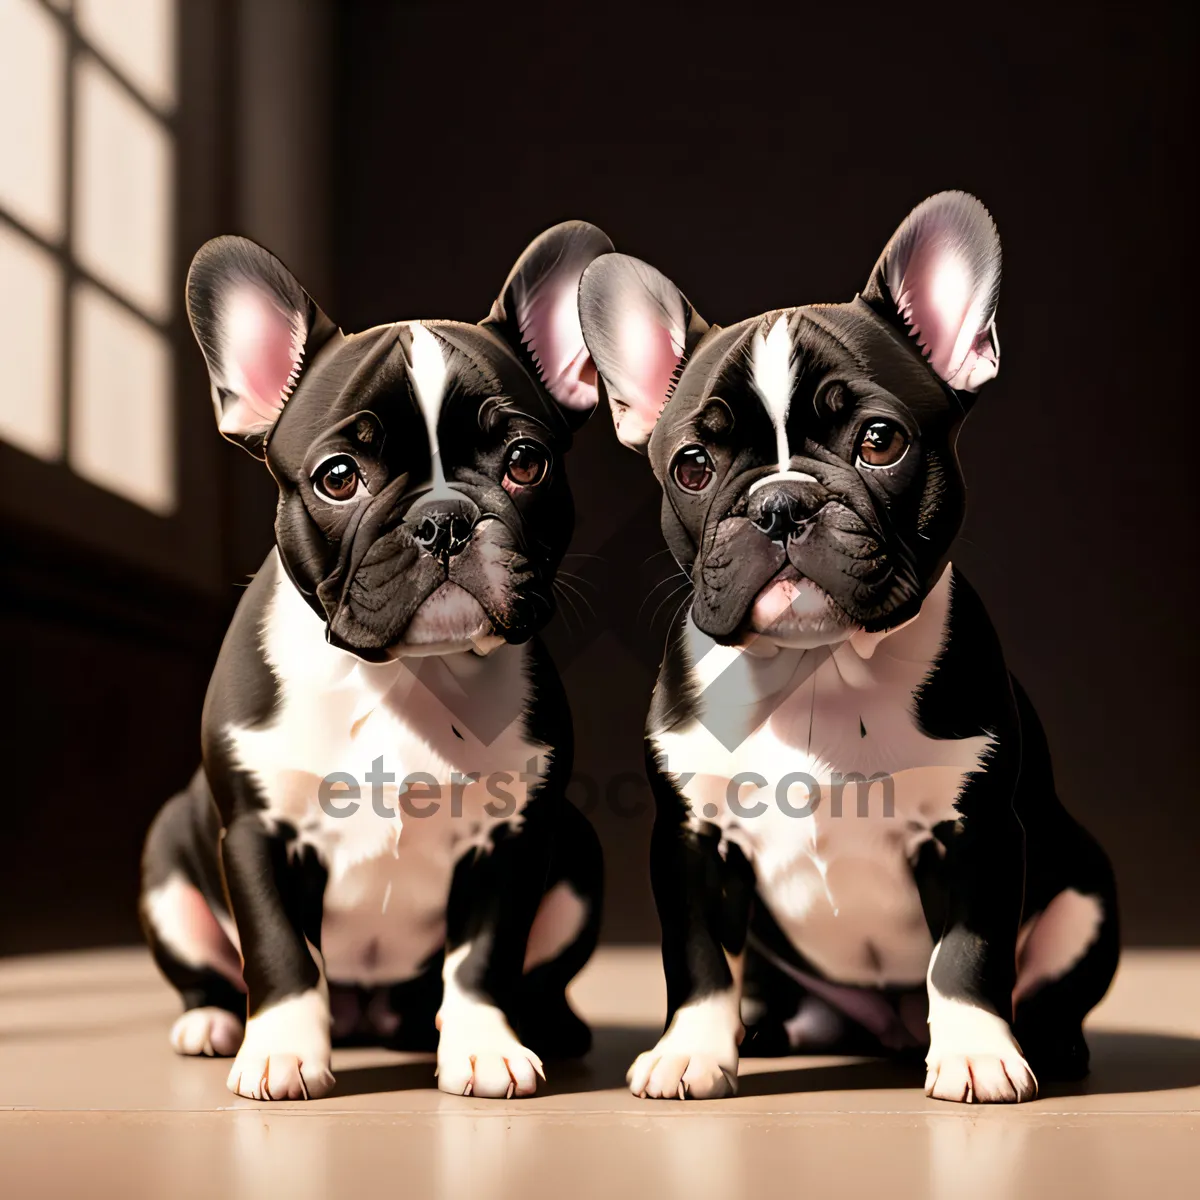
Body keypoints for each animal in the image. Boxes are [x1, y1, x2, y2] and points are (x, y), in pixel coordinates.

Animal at [140, 220, 609, 1099]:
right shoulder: (255, 833)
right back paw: (212, 1023)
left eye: (525, 462)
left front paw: (484, 1048)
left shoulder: (514, 840)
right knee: (209, 970)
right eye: (338, 478)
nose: (443, 519)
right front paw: (282, 1052)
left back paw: (547, 1027)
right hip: (167, 868)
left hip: (577, 857)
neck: (404, 675)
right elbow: (279, 949)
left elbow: (485, 958)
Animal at [576, 192, 1118, 1099]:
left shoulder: (976, 835)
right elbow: (698, 958)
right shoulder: (693, 843)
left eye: (878, 441)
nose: (781, 503)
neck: (816, 668)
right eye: (693, 466)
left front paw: (977, 1054)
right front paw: (691, 1051)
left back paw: (1043, 1042)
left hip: (1084, 892)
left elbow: (968, 956)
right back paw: (767, 1028)